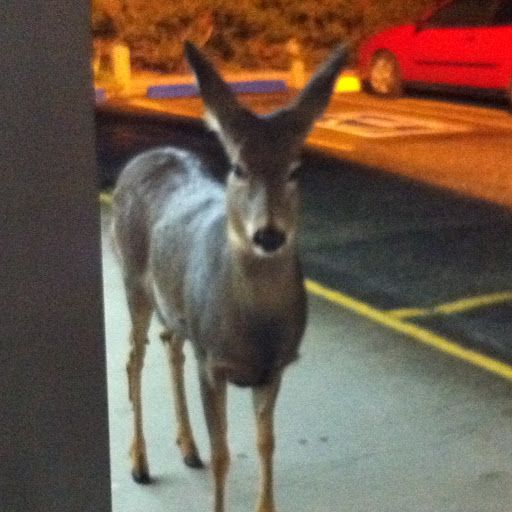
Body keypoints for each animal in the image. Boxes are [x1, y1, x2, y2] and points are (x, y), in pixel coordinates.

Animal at [112, 41, 348, 512]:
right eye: (238, 167)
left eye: (295, 169)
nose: (269, 234)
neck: (254, 329)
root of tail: (141, 158)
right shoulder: (213, 359)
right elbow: (223, 452)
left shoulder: (274, 367)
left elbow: (265, 444)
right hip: (132, 279)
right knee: (134, 357)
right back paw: (140, 462)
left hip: (176, 304)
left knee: (170, 343)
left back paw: (187, 448)